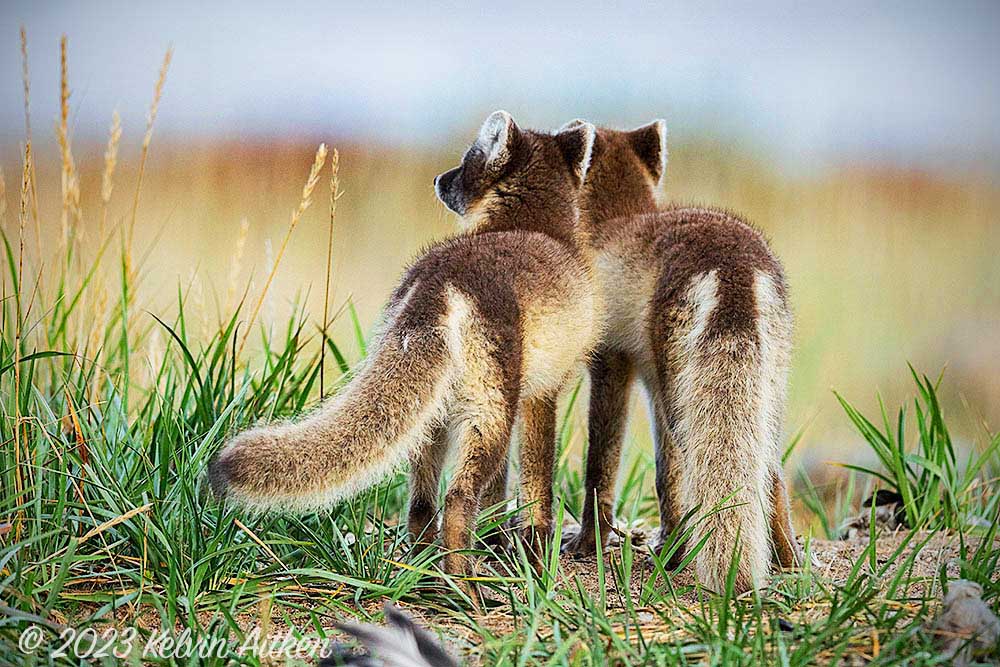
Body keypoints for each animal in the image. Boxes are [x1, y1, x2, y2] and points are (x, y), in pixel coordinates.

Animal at [208, 111, 600, 581]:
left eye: (465, 161)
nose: (438, 178)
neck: (534, 224)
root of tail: (438, 278)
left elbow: (500, 495)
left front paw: (497, 546)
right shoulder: (543, 393)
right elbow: (538, 487)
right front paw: (534, 554)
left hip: (434, 416)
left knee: (421, 505)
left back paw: (427, 577)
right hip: (488, 413)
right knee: (456, 500)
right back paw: (463, 586)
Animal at [556, 119, 802, 593]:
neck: (620, 218)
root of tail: (734, 267)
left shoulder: (612, 362)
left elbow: (601, 465)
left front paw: (588, 542)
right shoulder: (653, 381)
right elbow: (665, 477)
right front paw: (669, 540)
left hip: (687, 401)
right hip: (751, 398)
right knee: (772, 476)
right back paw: (786, 561)